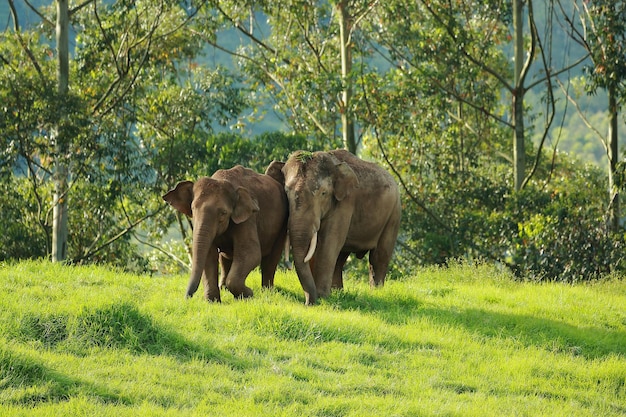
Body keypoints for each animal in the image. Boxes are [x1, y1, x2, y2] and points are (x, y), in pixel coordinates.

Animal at [161, 164, 288, 300]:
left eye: (223, 213)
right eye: (193, 209)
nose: (187, 298)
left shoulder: (248, 219)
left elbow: (250, 253)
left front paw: (248, 294)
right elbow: (209, 254)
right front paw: (213, 301)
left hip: (282, 225)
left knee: (272, 258)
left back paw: (267, 291)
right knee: (225, 257)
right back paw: (224, 288)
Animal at [264, 150, 400, 306]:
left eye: (323, 193)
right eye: (286, 191)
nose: (307, 303)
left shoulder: (345, 203)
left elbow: (328, 244)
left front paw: (322, 297)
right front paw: (322, 296)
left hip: (394, 214)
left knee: (379, 256)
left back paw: (376, 292)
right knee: (341, 257)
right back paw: (338, 292)